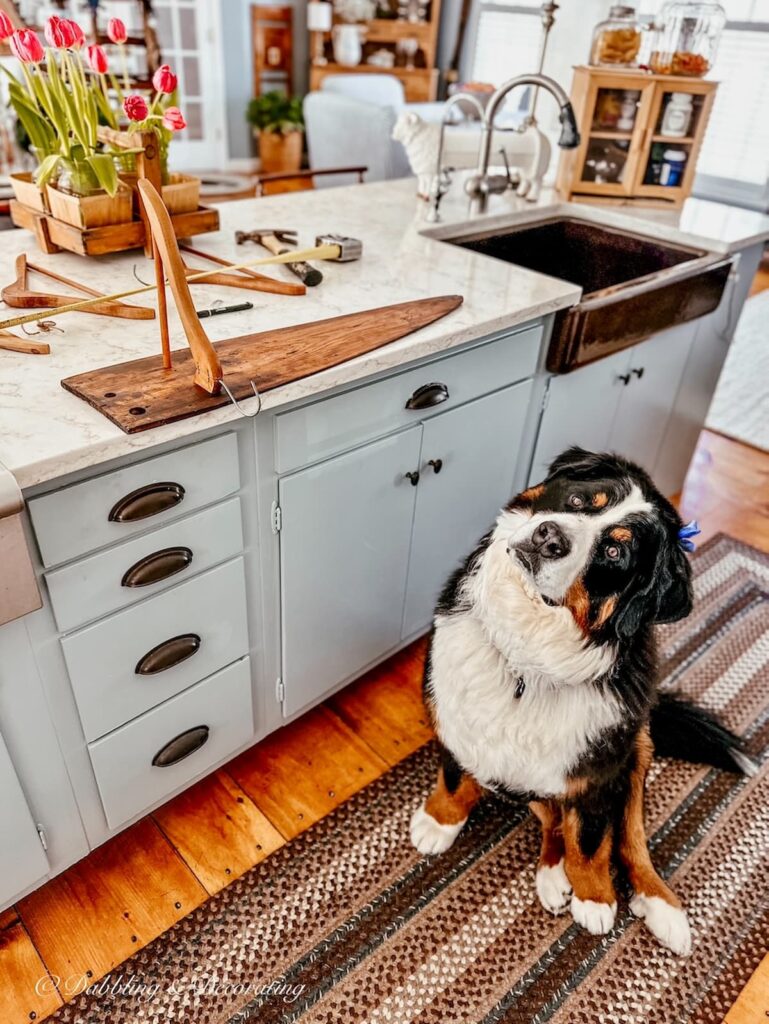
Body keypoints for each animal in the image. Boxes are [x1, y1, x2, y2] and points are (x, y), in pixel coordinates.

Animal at [411, 444, 753, 954]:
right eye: (578, 501)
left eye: (614, 551)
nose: (549, 537)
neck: (528, 664)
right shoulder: (458, 718)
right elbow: (456, 781)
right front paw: (438, 824)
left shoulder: (596, 773)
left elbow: (591, 842)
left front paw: (595, 897)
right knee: (553, 820)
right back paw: (554, 874)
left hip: (636, 754)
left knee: (629, 837)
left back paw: (660, 906)